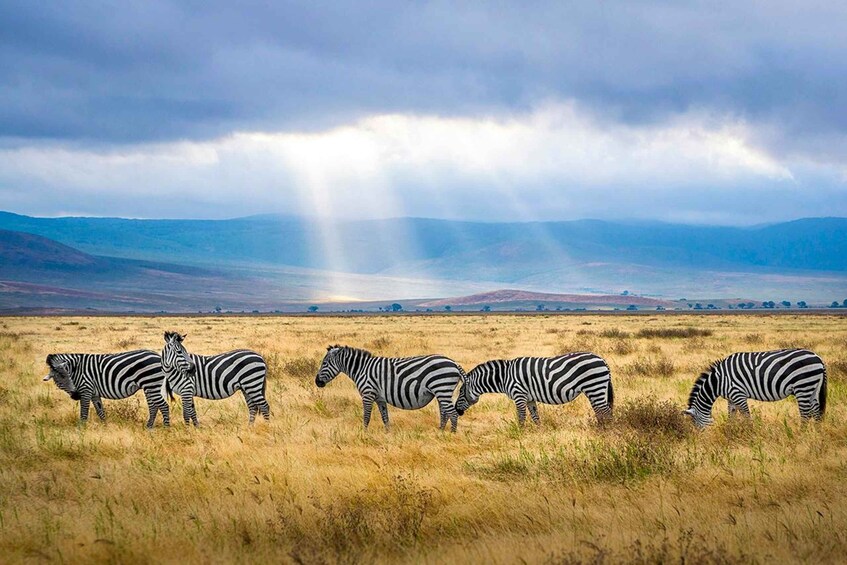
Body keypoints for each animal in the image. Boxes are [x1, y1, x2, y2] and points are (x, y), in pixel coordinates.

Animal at [314, 345, 464, 431]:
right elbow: (385, 417)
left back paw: (451, 435)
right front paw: (388, 434)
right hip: (442, 392)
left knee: (453, 413)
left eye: (324, 363)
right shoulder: (380, 398)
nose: (317, 382)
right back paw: (440, 432)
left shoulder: (368, 394)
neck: (361, 369)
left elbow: (366, 416)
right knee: (445, 412)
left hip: (442, 388)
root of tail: (454, 363)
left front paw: (364, 434)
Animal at [454, 352, 614, 425]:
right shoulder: (529, 398)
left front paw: (520, 434)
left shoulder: (519, 395)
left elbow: (521, 417)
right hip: (595, 390)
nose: (457, 410)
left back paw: (606, 431)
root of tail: (602, 360)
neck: (504, 377)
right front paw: (538, 433)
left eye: (461, 392)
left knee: (605, 411)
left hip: (594, 387)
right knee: (601, 411)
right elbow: (535, 416)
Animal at [684, 348, 827, 428]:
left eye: (696, 424)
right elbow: (731, 416)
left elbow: (747, 416)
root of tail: (818, 358)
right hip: (813, 388)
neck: (718, 381)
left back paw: (800, 435)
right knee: (816, 412)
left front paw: (750, 433)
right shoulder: (731, 398)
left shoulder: (738, 394)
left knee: (806, 414)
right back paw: (817, 435)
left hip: (803, 386)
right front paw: (730, 431)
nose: (701, 439)